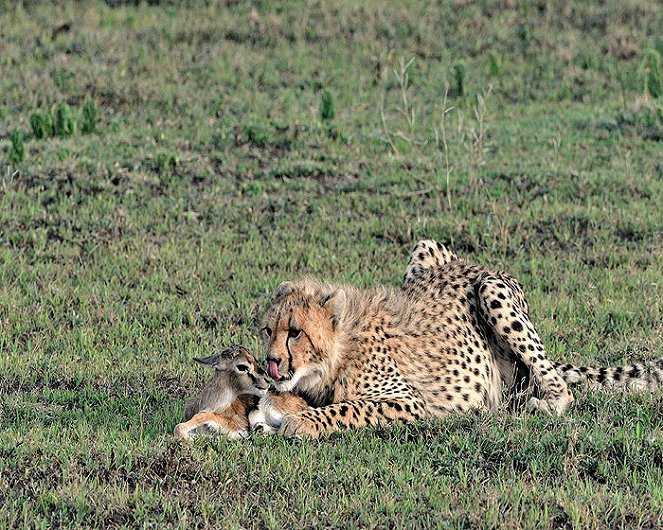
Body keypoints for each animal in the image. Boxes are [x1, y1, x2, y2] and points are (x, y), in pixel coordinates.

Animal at [262, 237, 660, 436]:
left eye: (295, 332)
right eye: (267, 331)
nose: (271, 362)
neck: (340, 347)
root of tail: (478, 266)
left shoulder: (408, 401)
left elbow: (346, 408)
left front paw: (302, 421)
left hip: (492, 290)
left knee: (561, 389)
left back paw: (538, 406)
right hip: (425, 246)